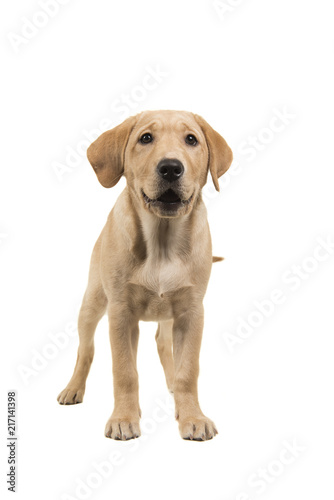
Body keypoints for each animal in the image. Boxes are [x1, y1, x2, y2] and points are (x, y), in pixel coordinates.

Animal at [57, 110, 232, 442]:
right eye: (146, 138)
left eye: (191, 140)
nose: (171, 168)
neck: (162, 242)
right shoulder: (121, 312)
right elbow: (125, 371)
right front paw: (124, 418)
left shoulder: (192, 312)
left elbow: (188, 369)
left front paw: (192, 416)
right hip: (93, 302)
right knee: (85, 349)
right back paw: (73, 389)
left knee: (163, 344)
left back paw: (172, 388)